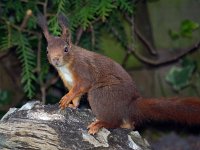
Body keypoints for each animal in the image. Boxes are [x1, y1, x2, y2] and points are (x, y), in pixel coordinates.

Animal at [37, 14, 200, 135]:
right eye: (47, 50)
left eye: (66, 49)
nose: (55, 59)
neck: (66, 67)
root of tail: (131, 105)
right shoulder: (69, 81)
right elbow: (77, 96)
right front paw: (72, 105)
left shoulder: (84, 70)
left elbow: (82, 86)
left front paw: (66, 98)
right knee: (129, 125)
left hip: (102, 93)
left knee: (112, 121)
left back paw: (100, 124)